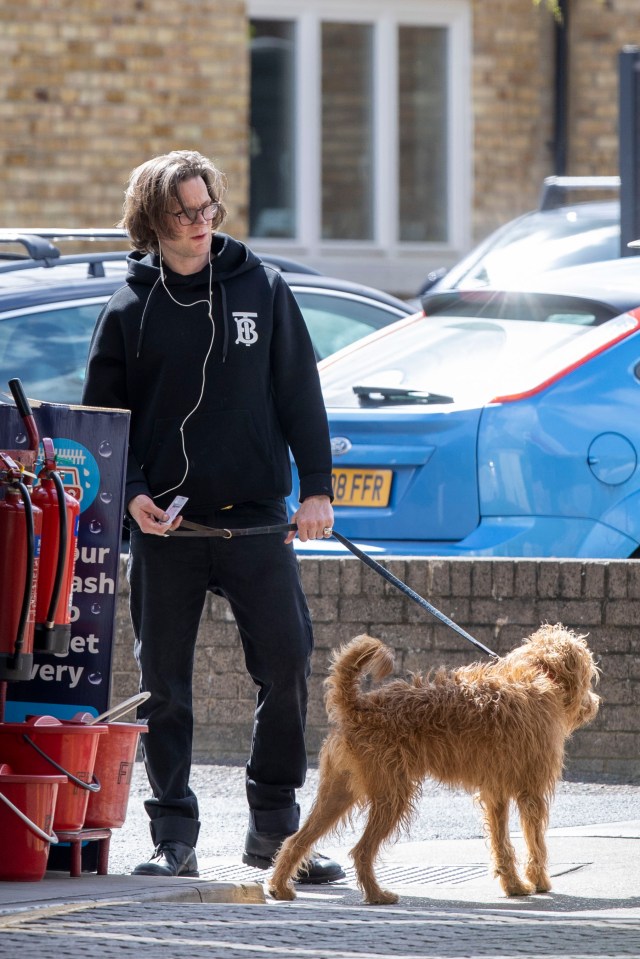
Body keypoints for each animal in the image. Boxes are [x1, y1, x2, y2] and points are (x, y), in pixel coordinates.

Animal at [268, 628, 596, 904]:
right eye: (589, 673)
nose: (594, 703)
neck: (537, 675)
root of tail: (359, 708)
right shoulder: (532, 792)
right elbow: (535, 842)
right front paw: (539, 881)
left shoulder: (496, 795)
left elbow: (502, 845)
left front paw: (513, 886)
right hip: (392, 796)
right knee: (361, 850)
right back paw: (376, 895)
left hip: (338, 793)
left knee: (296, 840)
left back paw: (280, 887)